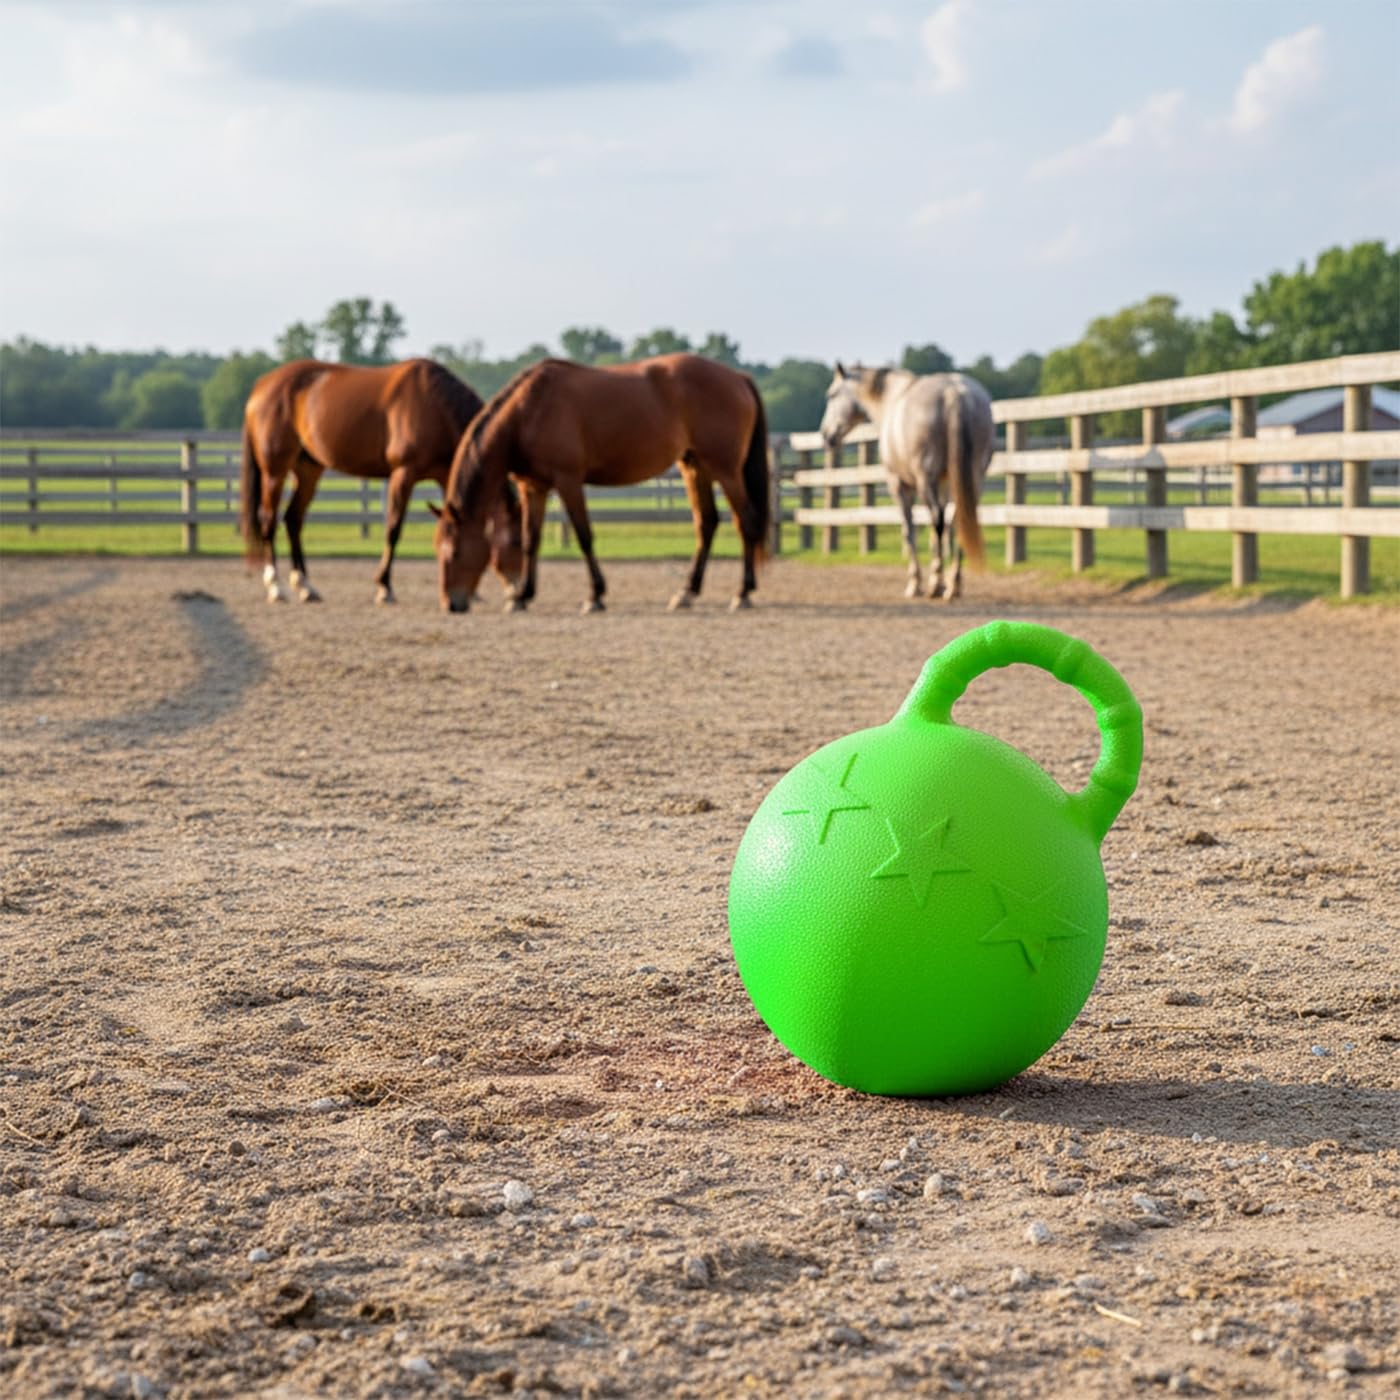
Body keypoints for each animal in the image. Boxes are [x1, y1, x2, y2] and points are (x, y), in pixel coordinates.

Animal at [239, 358, 523, 605]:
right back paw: (276, 587)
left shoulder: (446, 478)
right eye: (516, 542)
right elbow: (393, 530)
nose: (518, 589)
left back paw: (306, 586)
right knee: (268, 522)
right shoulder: (403, 474)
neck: (434, 405)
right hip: (275, 471)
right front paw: (384, 587)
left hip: (308, 469)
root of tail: (261, 386)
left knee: (293, 520)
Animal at [430, 352, 771, 614]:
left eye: (455, 552)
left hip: (726, 470)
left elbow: (584, 536)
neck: (529, 411)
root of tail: (738, 377)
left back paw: (742, 593)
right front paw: (522, 596)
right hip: (694, 467)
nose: (452, 604)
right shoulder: (534, 487)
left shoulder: (568, 482)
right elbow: (530, 540)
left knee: (746, 522)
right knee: (707, 523)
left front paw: (595, 596)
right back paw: (686, 593)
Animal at [820, 364, 994, 600]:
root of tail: (955, 393)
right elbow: (943, 531)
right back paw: (953, 585)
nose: (825, 434)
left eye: (832, 394)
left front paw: (915, 583)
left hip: (925, 479)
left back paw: (935, 584)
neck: (890, 399)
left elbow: (909, 530)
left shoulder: (898, 484)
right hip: (974, 477)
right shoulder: (945, 483)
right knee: (959, 520)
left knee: (937, 522)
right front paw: (945, 581)